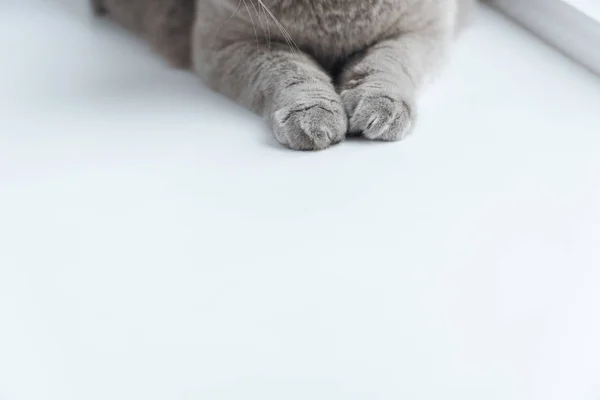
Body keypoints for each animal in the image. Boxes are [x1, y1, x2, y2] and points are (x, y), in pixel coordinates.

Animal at [94, 0, 476, 150]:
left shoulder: (424, 29)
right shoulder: (226, 42)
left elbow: (390, 62)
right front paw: (313, 118)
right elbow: (287, 69)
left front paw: (382, 109)